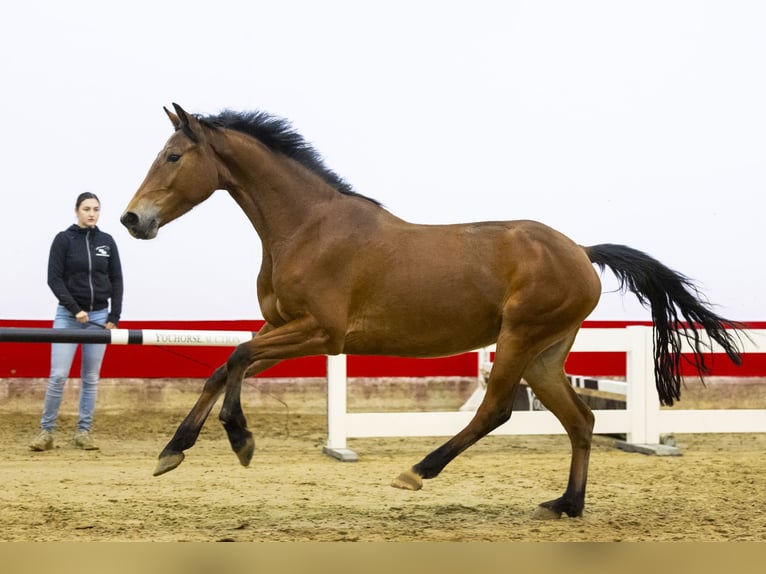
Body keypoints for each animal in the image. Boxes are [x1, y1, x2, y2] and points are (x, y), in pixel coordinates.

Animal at [120, 103, 744, 520]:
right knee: (582, 420)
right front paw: (172, 452)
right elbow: (223, 365)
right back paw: (566, 504)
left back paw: (416, 472)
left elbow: (237, 355)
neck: (306, 228)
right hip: (545, 353)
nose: (132, 220)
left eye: (173, 156)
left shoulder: (319, 333)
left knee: (496, 411)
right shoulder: (285, 328)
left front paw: (240, 439)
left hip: (519, 339)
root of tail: (581, 252)